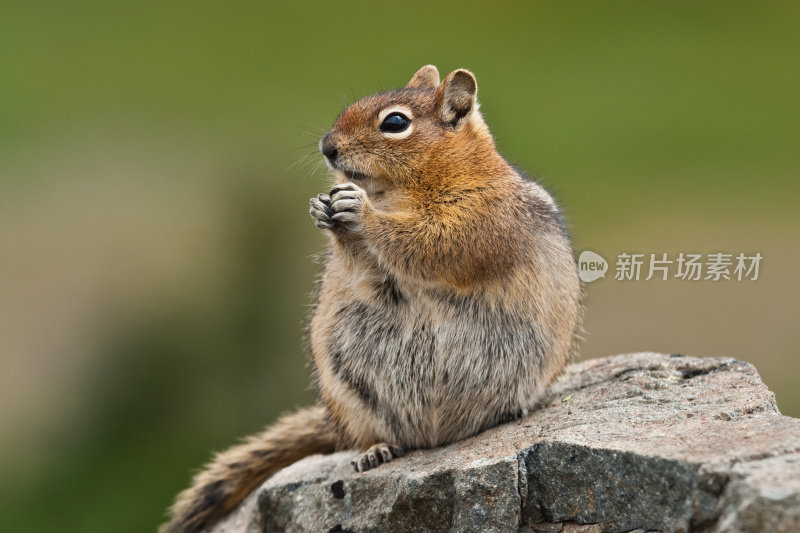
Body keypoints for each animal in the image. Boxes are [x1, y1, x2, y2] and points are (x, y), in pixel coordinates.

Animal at [164, 64, 588, 528]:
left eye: (395, 123)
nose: (327, 147)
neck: (396, 192)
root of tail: (437, 436)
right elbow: (367, 276)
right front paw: (324, 212)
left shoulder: (479, 218)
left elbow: (431, 242)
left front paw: (363, 215)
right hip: (350, 392)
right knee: (376, 434)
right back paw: (377, 451)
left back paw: (511, 410)